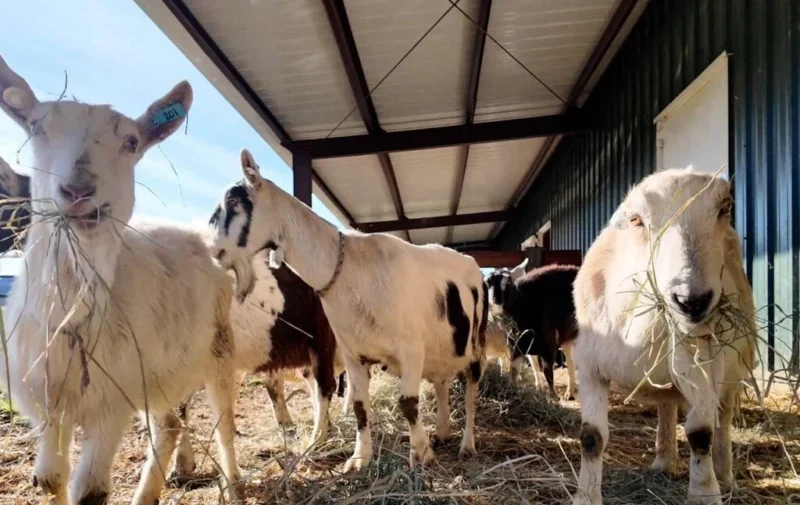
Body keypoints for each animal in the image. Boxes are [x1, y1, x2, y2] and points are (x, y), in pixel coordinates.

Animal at [0, 56, 243, 505]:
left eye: (132, 142)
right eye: (37, 126)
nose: (79, 190)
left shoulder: (112, 403)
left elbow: (90, 490)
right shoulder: (46, 405)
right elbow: (50, 478)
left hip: (219, 346)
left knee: (224, 421)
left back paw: (233, 483)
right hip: (160, 369)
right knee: (169, 425)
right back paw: (150, 491)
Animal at [207, 149, 489, 472]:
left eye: (233, 201)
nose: (211, 251)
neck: (350, 270)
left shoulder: (410, 350)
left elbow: (408, 403)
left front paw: (420, 453)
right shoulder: (354, 353)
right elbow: (359, 406)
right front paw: (359, 458)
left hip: (475, 346)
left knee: (470, 395)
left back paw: (467, 445)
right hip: (441, 351)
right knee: (442, 384)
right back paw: (442, 432)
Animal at [485, 265, 579, 400]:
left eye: (508, 283)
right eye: (487, 283)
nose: (495, 301)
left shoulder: (548, 344)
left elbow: (547, 371)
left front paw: (553, 396)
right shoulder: (516, 346)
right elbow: (516, 369)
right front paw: (514, 389)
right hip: (567, 338)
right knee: (571, 362)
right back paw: (570, 392)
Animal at [570, 167, 758, 505]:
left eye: (725, 208)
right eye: (636, 220)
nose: (692, 301)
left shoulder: (702, 364)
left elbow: (701, 433)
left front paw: (705, 494)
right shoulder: (590, 366)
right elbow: (591, 436)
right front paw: (586, 497)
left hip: (732, 371)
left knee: (723, 420)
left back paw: (725, 478)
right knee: (667, 407)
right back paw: (664, 460)